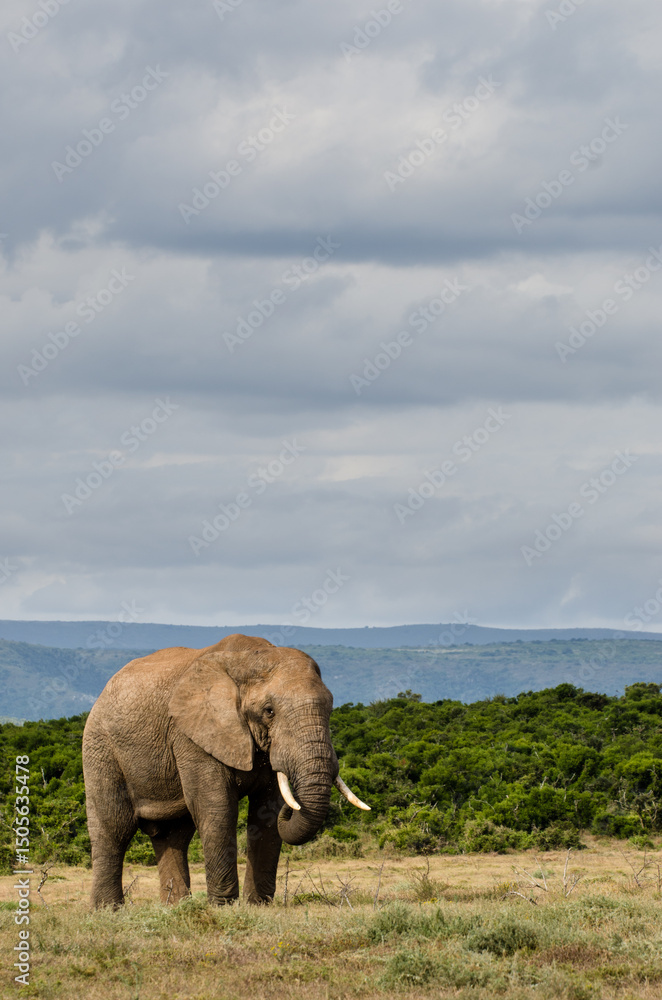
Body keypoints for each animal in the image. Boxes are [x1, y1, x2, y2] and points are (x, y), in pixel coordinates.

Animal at [82, 633, 368, 908]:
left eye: (330, 708)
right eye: (269, 711)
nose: (293, 808)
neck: (249, 657)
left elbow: (267, 811)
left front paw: (259, 906)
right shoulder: (193, 736)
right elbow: (217, 807)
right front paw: (223, 906)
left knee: (173, 835)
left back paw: (174, 908)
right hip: (100, 748)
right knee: (114, 828)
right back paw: (107, 910)